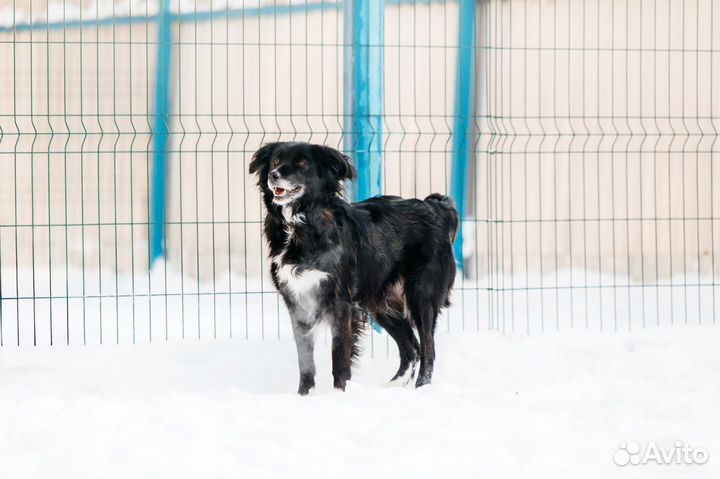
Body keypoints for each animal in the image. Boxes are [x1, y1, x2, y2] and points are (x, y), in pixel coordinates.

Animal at [250, 142, 458, 394]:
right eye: (276, 161)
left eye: (301, 163)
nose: (274, 175)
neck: (300, 224)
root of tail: (434, 206)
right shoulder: (297, 302)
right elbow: (305, 359)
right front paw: (304, 395)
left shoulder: (341, 303)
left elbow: (339, 356)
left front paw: (340, 394)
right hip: (381, 303)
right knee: (411, 347)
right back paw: (393, 386)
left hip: (421, 296)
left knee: (428, 350)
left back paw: (421, 388)